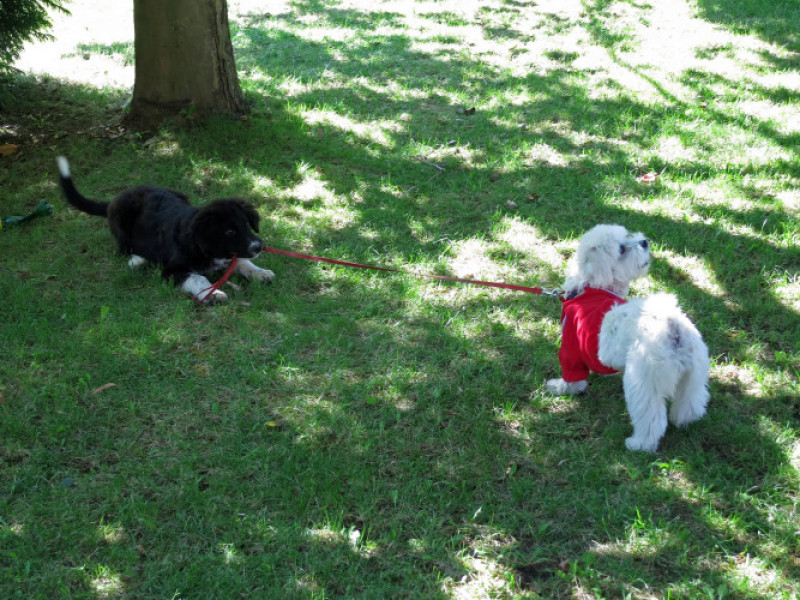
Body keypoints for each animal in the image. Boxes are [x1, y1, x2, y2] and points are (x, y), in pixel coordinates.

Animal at [56, 156, 274, 304]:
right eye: (229, 232)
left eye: (245, 224)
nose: (258, 246)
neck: (202, 246)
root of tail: (112, 202)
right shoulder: (171, 271)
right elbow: (198, 277)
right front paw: (213, 293)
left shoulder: (231, 255)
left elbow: (244, 262)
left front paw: (260, 273)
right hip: (122, 223)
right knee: (124, 248)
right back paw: (138, 260)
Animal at [545, 224, 709, 452]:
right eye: (622, 248)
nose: (644, 242)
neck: (590, 286)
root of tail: (672, 327)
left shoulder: (571, 345)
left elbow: (573, 378)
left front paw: (560, 387)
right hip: (694, 373)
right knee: (691, 402)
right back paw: (684, 421)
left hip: (642, 381)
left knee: (651, 419)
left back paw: (639, 444)